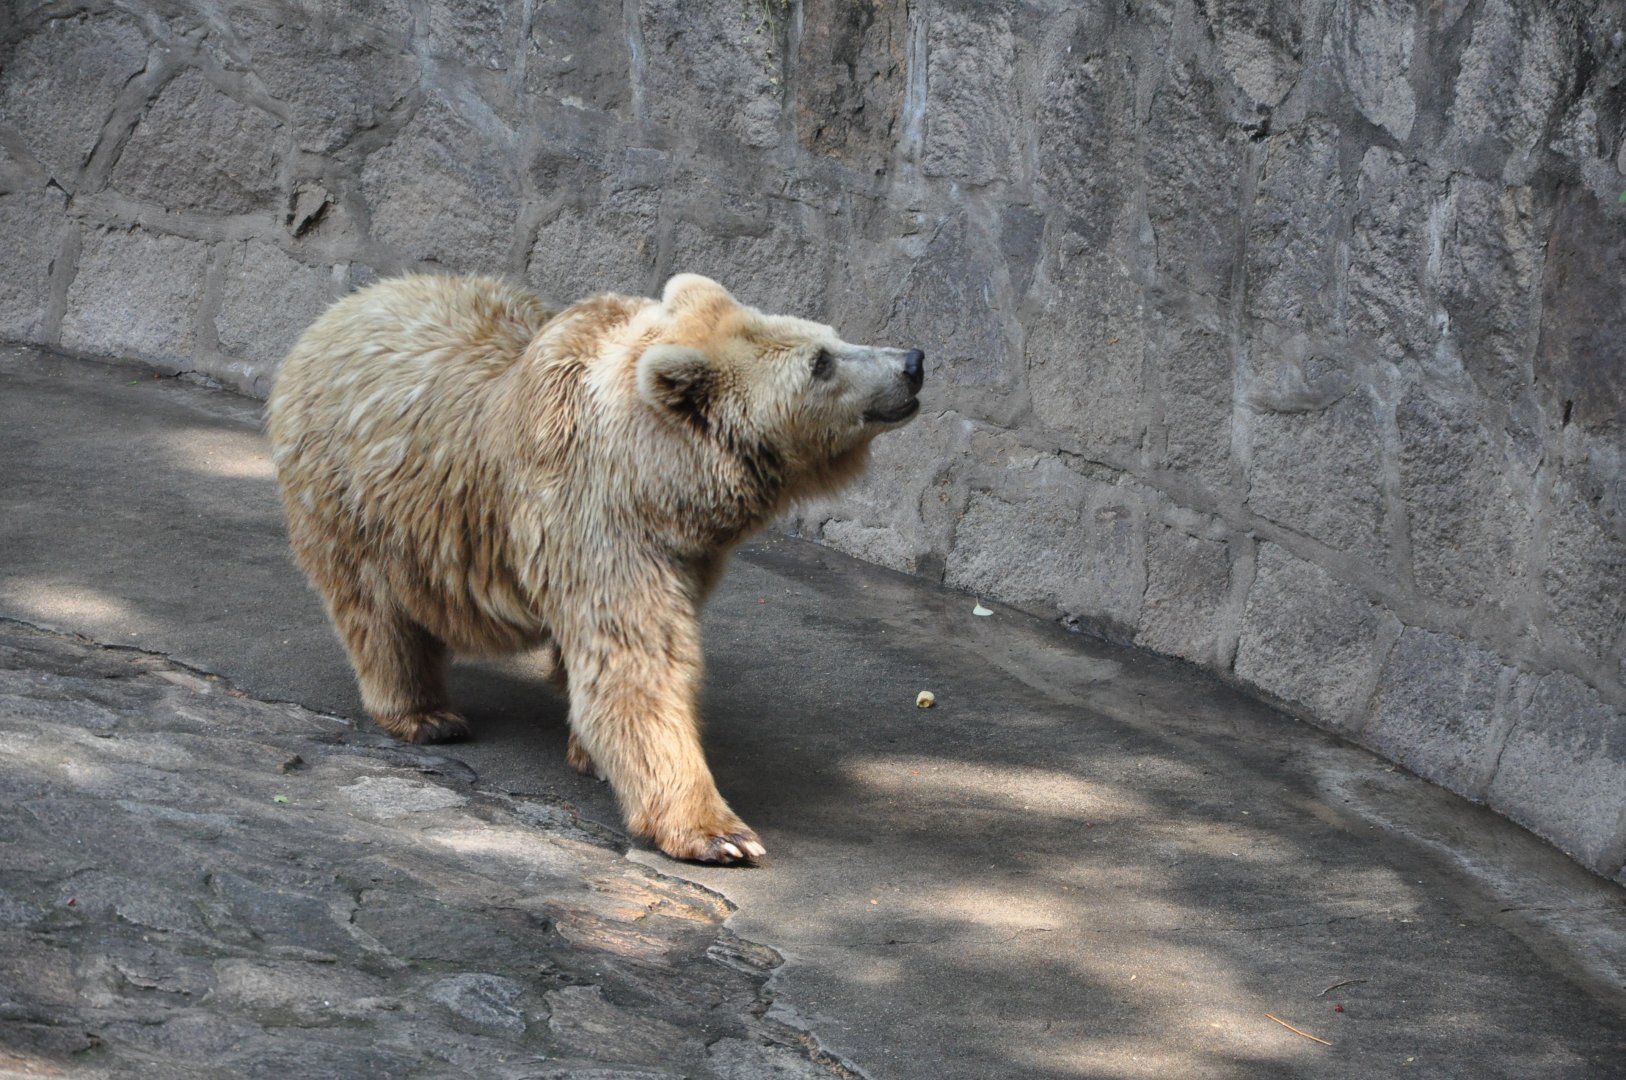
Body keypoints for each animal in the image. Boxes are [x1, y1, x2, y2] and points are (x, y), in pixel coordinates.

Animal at [265, 272, 924, 863]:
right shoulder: (597, 516)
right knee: (375, 610)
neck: (661, 479)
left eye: (832, 336)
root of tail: (342, 306)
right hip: (351, 496)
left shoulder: (681, 552)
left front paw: (589, 754)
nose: (913, 360)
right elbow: (638, 663)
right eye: (821, 362)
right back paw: (425, 715)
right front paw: (721, 833)